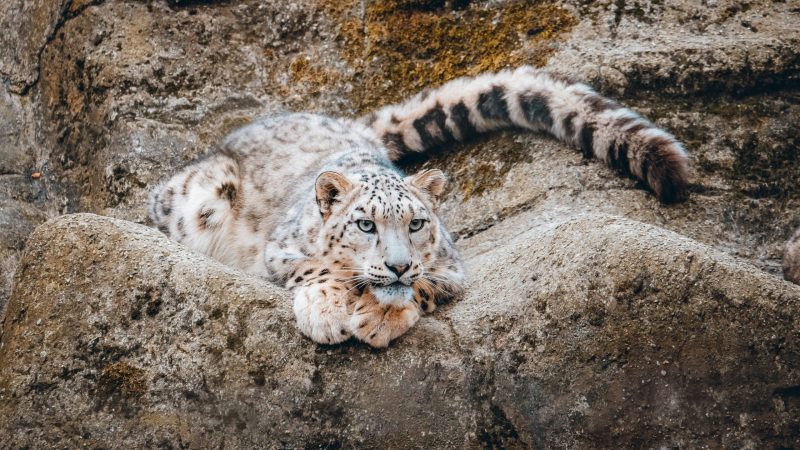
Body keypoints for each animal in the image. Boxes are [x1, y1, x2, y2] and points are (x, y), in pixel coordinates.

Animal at [148, 66, 690, 347]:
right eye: (365, 224)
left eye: (417, 224)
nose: (397, 264)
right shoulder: (279, 254)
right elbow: (323, 270)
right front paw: (326, 311)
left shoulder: (451, 269)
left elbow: (424, 287)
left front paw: (380, 317)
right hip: (197, 197)